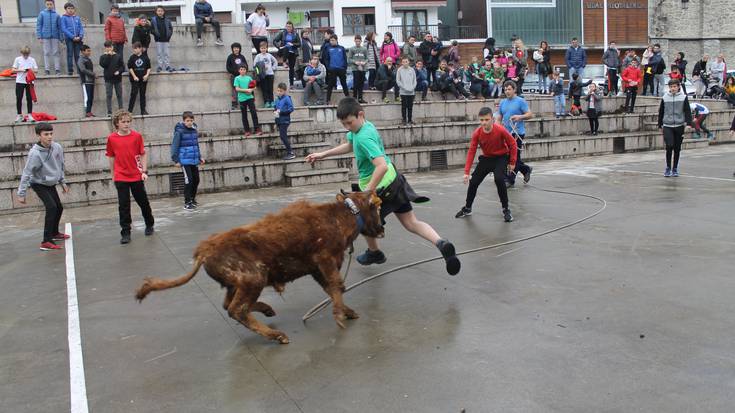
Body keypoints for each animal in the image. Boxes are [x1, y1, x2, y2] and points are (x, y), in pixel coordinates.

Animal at [136, 190, 386, 342]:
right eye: (375, 208)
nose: (382, 229)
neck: (339, 216)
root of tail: (204, 250)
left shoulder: (317, 269)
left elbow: (332, 289)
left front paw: (348, 312)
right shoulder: (325, 261)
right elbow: (336, 286)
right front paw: (340, 316)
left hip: (237, 284)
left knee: (229, 306)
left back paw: (267, 309)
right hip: (253, 279)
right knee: (236, 310)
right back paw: (277, 335)